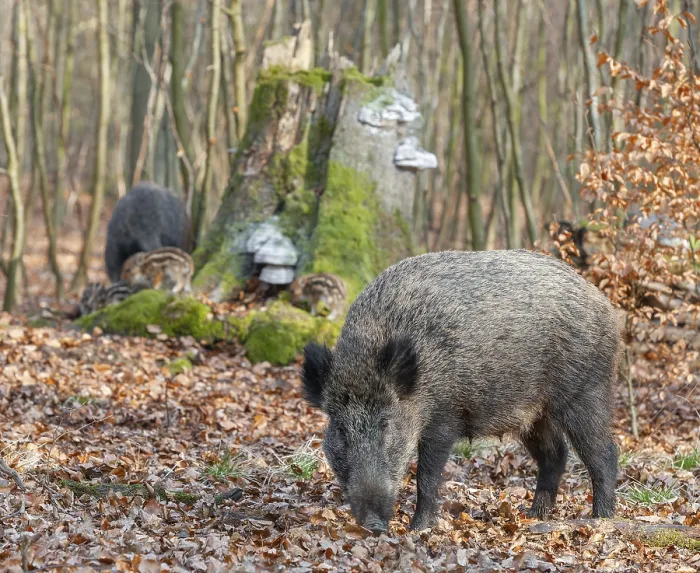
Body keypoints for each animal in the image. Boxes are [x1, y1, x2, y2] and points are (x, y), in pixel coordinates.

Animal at [301, 249, 621, 533]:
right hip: (534, 415)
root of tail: (606, 305)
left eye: (386, 424)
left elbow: (427, 477)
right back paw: (533, 516)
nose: (373, 525)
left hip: (585, 392)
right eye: (340, 429)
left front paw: (418, 529)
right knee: (556, 454)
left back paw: (600, 519)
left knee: (605, 452)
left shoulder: (445, 417)